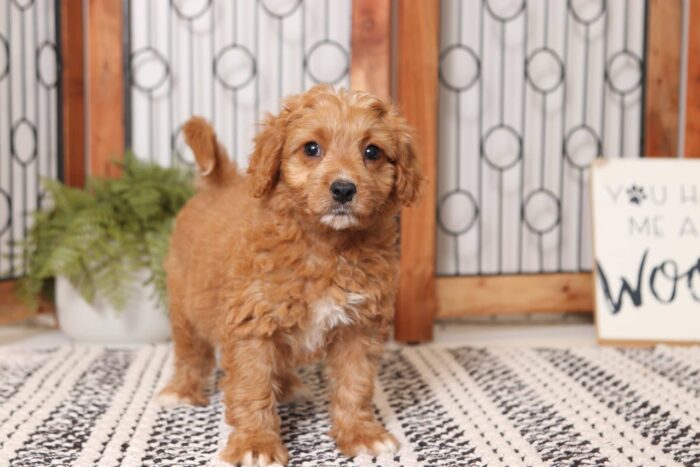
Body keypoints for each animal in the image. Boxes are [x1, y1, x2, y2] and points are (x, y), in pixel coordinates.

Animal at [157, 85, 422, 467]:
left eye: (372, 151)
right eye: (311, 148)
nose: (344, 189)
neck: (326, 246)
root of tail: (218, 182)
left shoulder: (359, 328)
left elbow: (355, 384)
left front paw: (361, 435)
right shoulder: (252, 324)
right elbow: (252, 386)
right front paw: (256, 444)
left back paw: (288, 386)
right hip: (182, 303)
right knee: (191, 352)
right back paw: (182, 391)